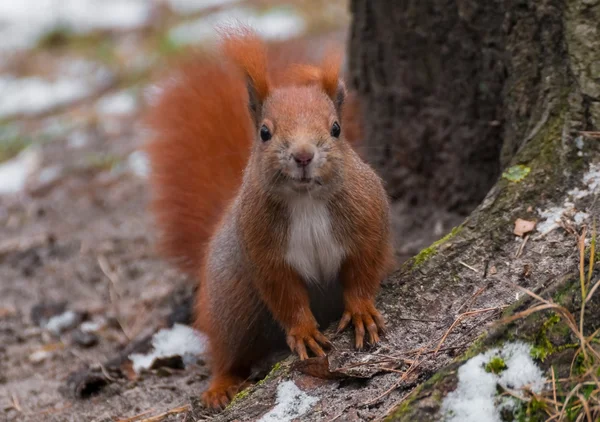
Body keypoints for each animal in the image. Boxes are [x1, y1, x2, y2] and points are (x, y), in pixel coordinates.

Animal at [146, 28, 394, 408]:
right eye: (265, 132)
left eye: (336, 129)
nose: (303, 155)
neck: (306, 201)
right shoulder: (263, 251)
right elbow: (284, 294)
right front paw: (304, 332)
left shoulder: (367, 223)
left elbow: (363, 272)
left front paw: (362, 312)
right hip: (231, 302)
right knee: (227, 350)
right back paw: (220, 386)